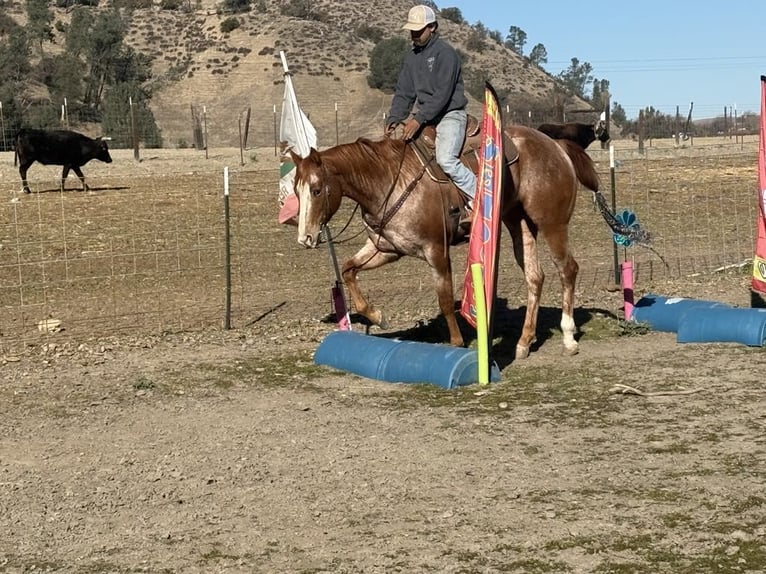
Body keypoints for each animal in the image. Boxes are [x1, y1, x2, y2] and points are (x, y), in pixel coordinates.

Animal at [292, 126, 632, 360]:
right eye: (296, 189)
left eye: (317, 189)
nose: (305, 238)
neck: (389, 179)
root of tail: (556, 146)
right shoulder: (388, 249)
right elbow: (348, 270)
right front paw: (376, 315)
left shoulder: (436, 251)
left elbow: (444, 300)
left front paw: (456, 343)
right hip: (518, 224)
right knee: (535, 277)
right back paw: (524, 342)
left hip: (552, 224)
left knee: (567, 270)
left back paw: (568, 337)